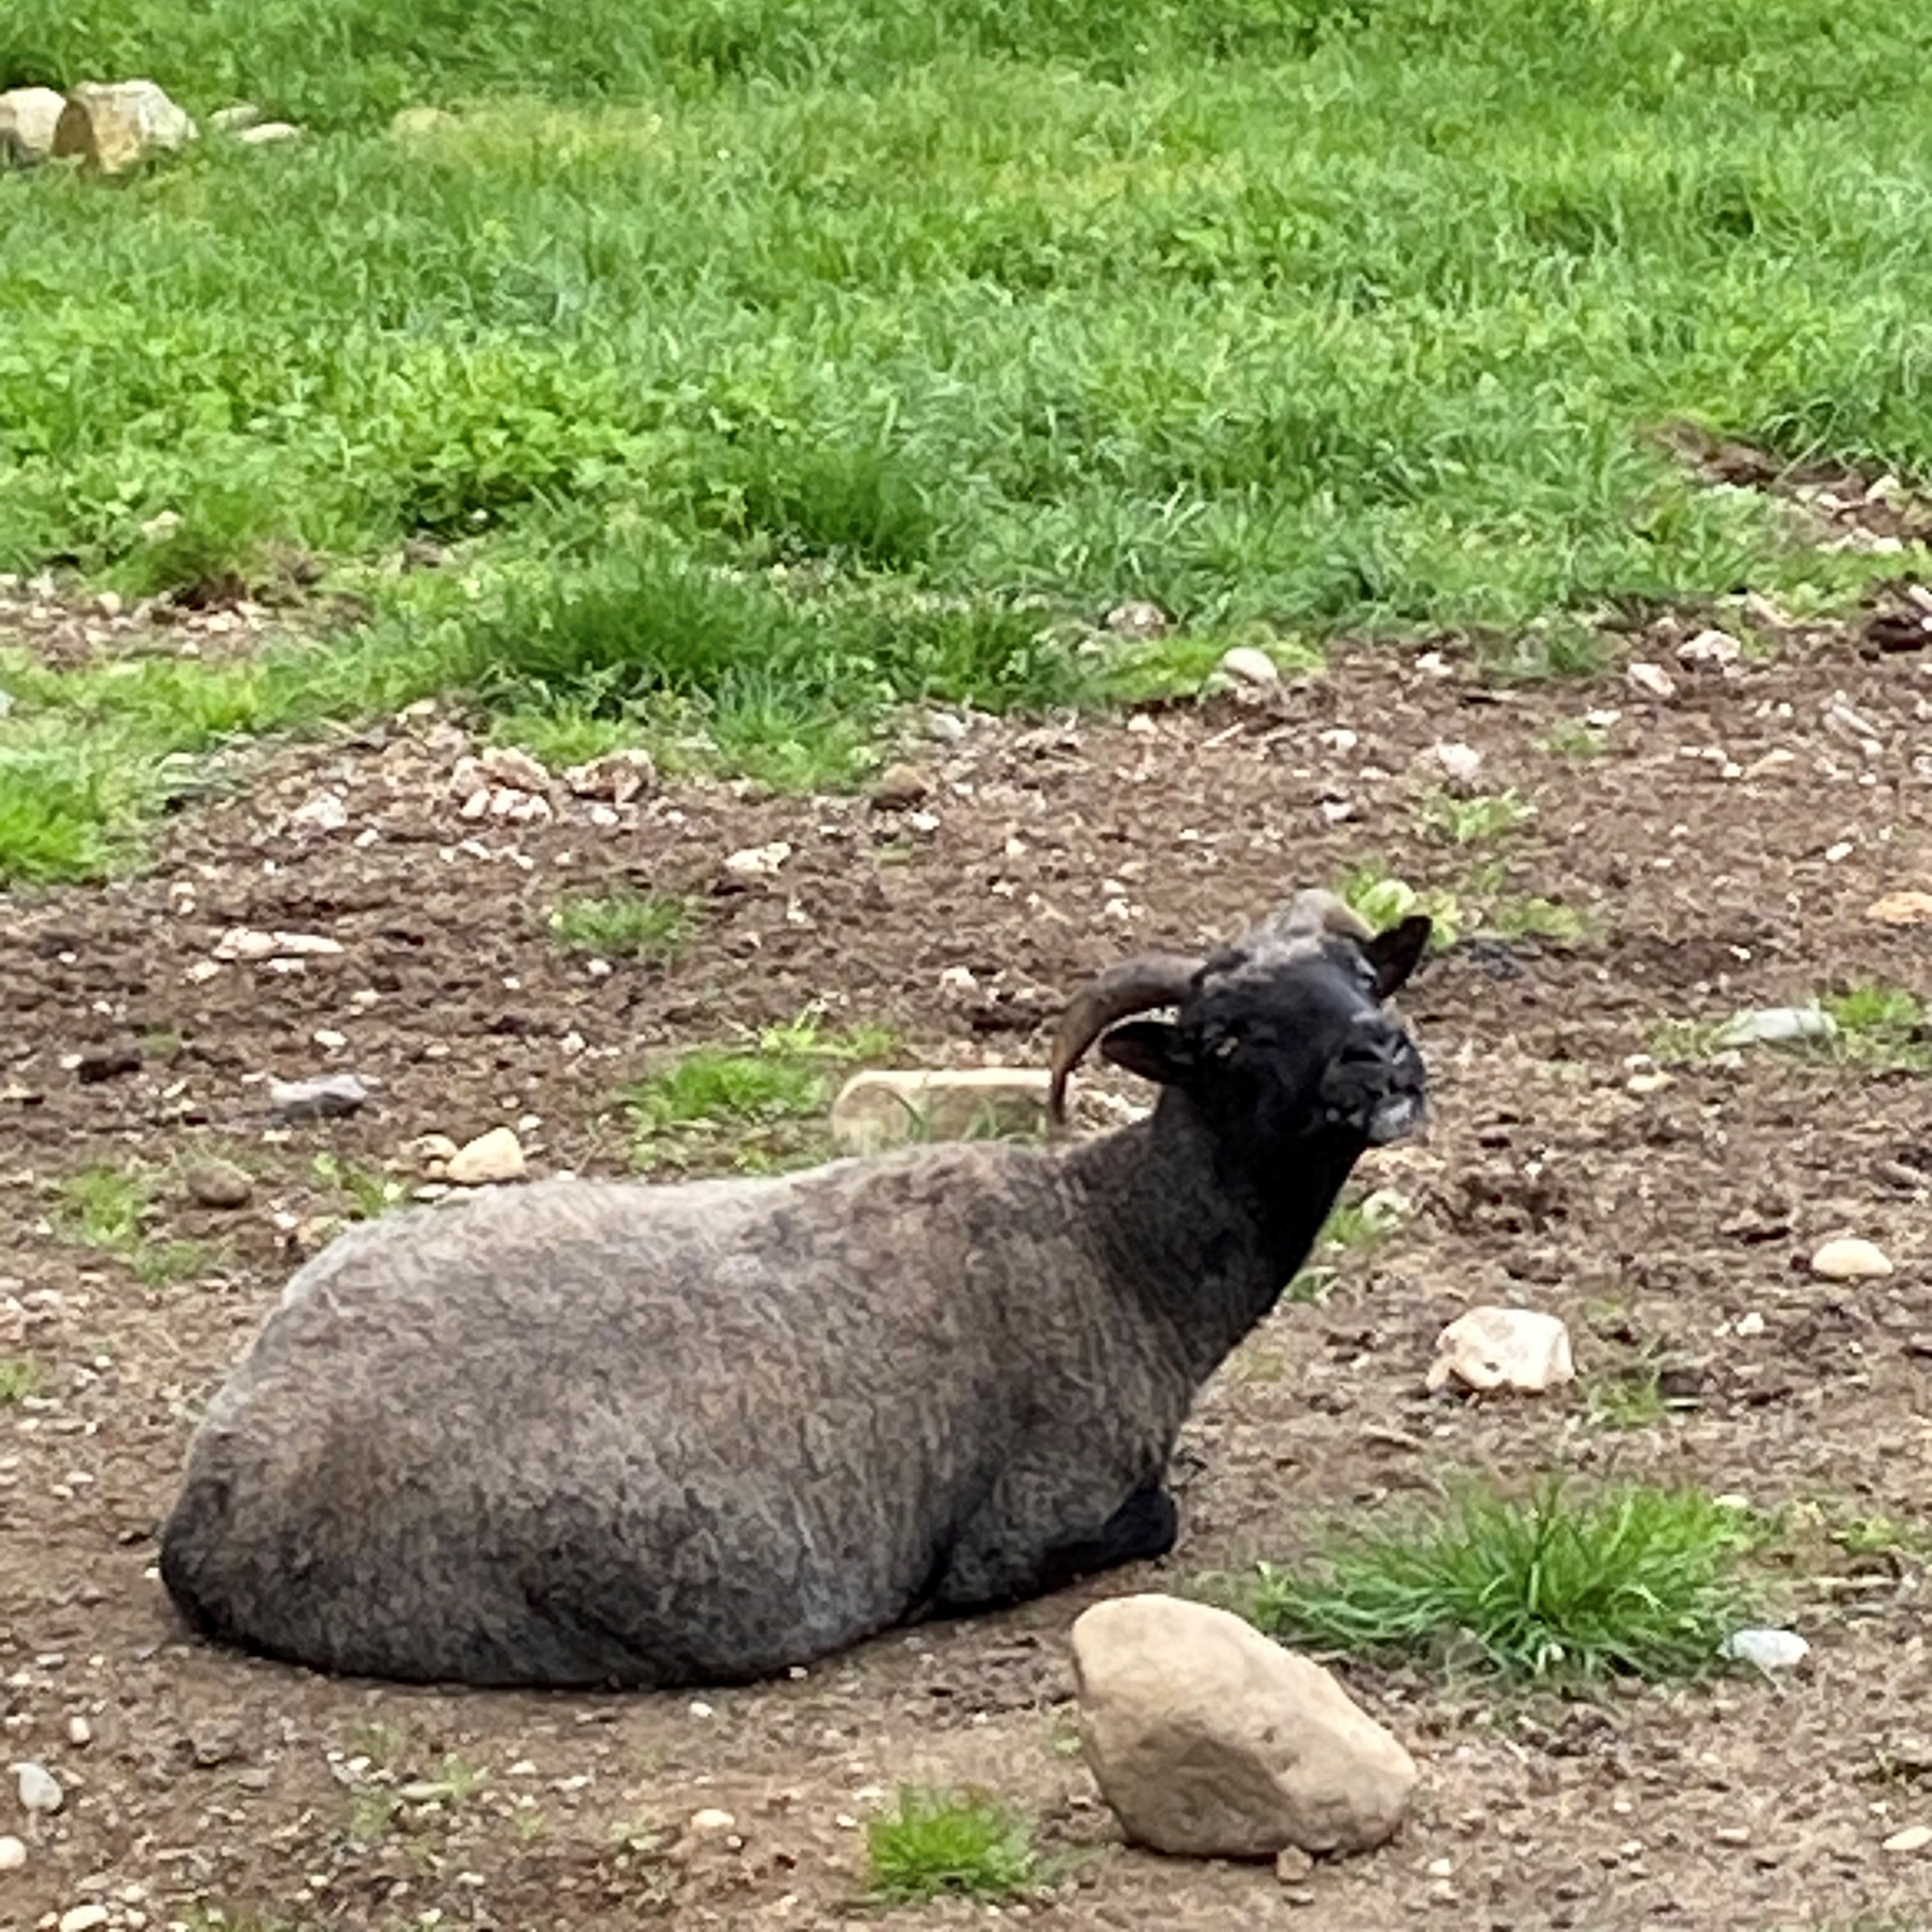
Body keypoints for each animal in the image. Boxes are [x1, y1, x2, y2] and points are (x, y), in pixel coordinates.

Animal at [158, 889, 1432, 1690]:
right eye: (1224, 1037)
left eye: (1363, 976)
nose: (1380, 1057)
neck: (1115, 1245)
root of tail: (209, 1495)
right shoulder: (1030, 1519)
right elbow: (1152, 1518)